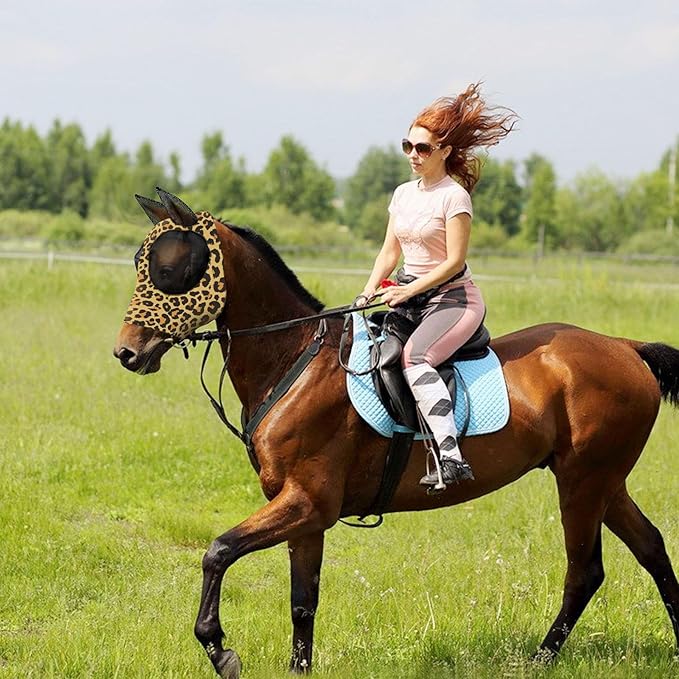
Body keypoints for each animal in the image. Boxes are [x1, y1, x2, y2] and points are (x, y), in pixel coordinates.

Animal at [114, 189, 679, 679]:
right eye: (140, 264)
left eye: (170, 271)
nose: (126, 352)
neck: (294, 358)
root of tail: (625, 347)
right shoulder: (303, 513)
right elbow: (303, 601)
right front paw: (296, 667)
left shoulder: (307, 503)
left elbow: (218, 551)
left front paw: (219, 648)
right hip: (605, 483)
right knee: (651, 547)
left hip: (583, 483)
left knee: (585, 571)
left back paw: (539, 659)